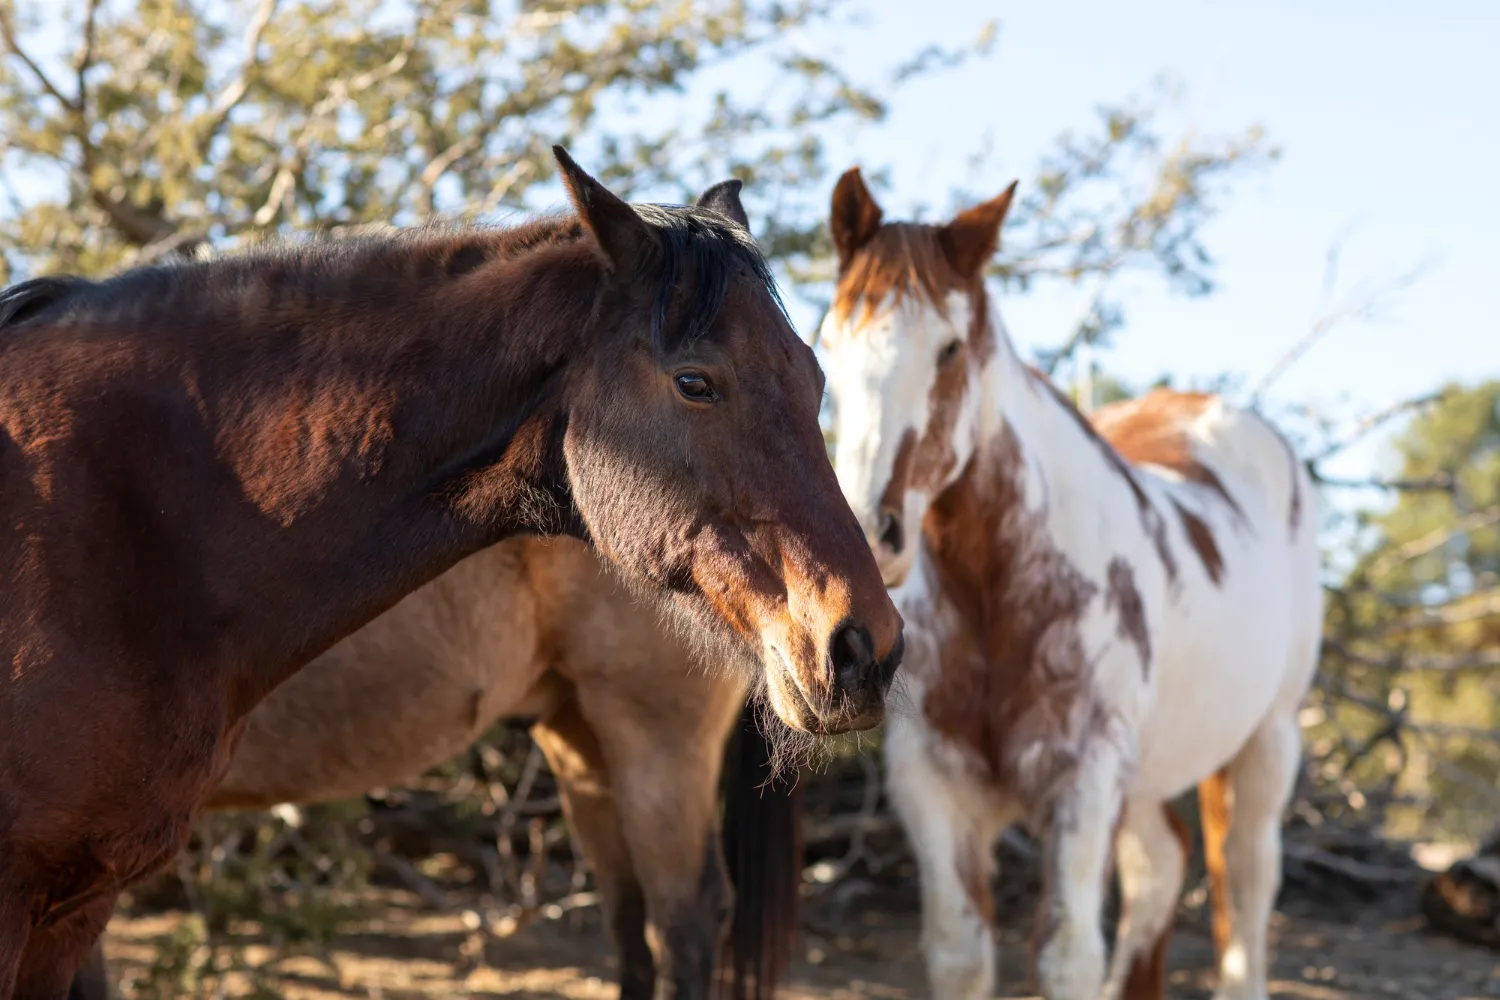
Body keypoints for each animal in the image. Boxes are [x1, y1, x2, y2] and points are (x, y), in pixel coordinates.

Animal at [816, 168, 1322, 1000]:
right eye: (828, 344)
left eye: (950, 348)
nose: (868, 531)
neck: (1000, 593)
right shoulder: (936, 791)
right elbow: (960, 954)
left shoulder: (1082, 787)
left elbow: (1065, 956)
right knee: (1163, 867)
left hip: (1265, 745)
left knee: (1244, 894)